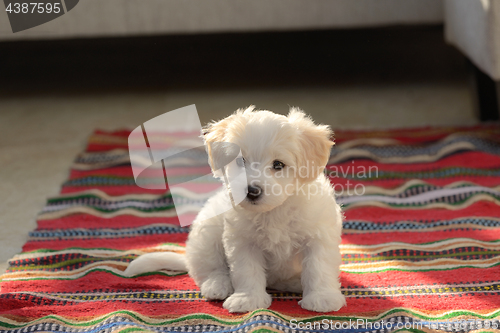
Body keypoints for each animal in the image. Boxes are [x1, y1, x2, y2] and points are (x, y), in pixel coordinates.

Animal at [125, 105, 346, 312]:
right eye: (240, 161)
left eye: (278, 164)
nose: (252, 191)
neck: (274, 211)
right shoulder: (242, 241)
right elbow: (247, 271)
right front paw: (248, 299)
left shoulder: (318, 236)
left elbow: (318, 268)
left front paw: (322, 298)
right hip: (207, 235)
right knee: (210, 268)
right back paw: (218, 285)